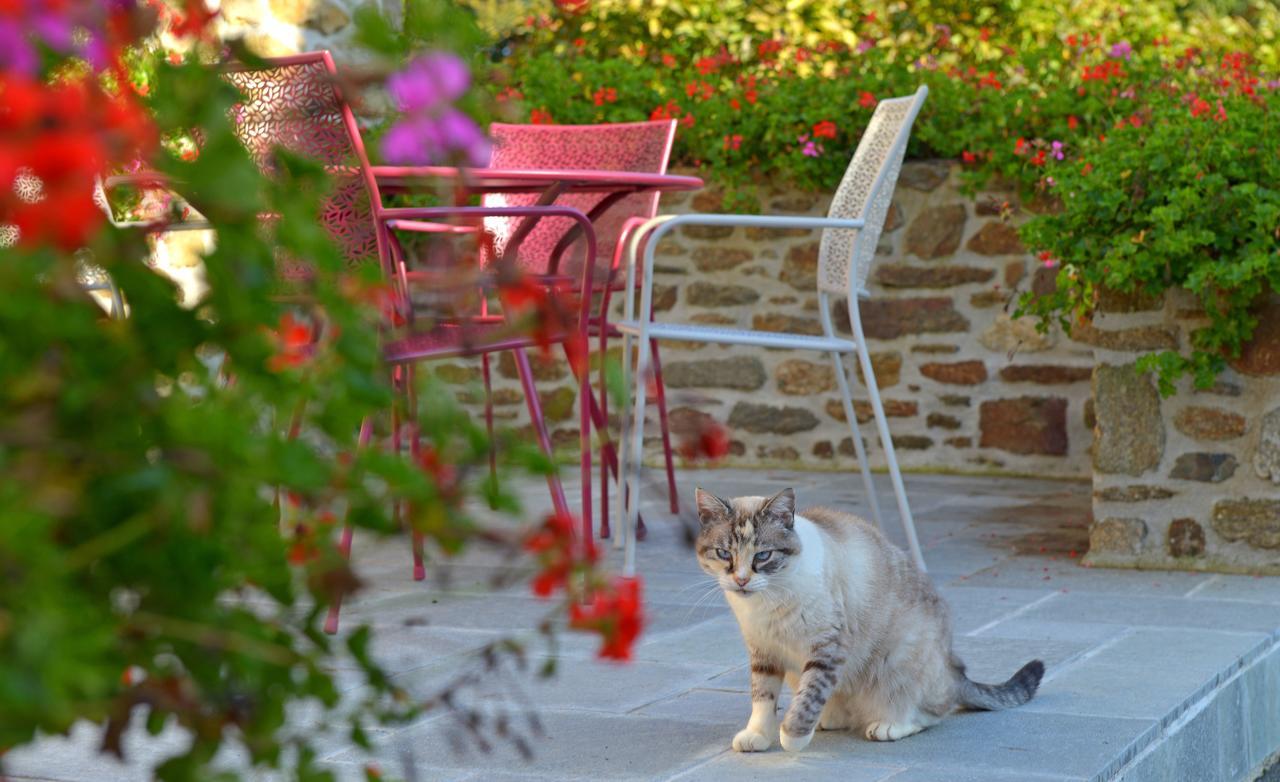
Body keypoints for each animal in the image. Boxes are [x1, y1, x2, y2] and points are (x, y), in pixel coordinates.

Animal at [696, 488, 1044, 752]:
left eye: (763, 556)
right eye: (724, 554)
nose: (741, 580)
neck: (765, 602)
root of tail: (954, 668)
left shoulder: (827, 647)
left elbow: (809, 696)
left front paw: (792, 737)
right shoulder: (764, 652)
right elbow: (763, 698)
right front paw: (758, 735)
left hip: (899, 659)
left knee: (932, 711)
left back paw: (889, 726)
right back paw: (830, 718)